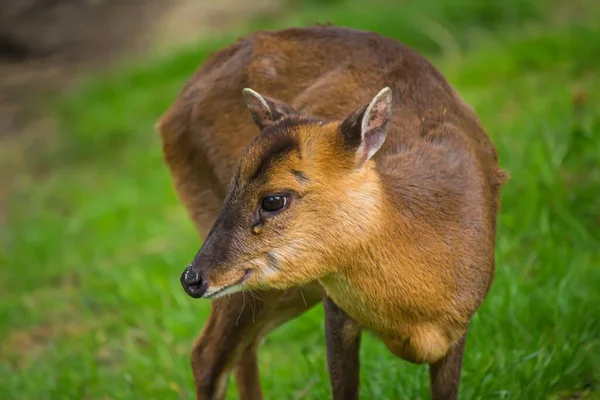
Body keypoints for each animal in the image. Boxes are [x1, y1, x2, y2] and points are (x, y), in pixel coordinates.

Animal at [157, 25, 508, 400]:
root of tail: (170, 114)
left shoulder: (461, 325)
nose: (191, 278)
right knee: (206, 354)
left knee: (241, 349)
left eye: (274, 199)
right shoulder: (336, 310)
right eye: (233, 185)